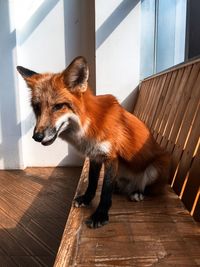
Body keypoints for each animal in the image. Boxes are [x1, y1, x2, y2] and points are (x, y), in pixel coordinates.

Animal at [18, 56, 170, 228]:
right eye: (37, 107)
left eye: (58, 106)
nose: (36, 137)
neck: (89, 125)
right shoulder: (95, 156)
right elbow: (92, 182)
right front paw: (86, 199)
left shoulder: (111, 157)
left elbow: (105, 191)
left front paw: (100, 215)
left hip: (157, 166)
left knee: (151, 189)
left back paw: (138, 192)